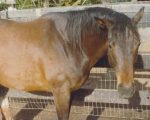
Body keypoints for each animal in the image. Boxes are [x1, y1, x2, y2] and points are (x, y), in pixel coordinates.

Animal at [0, 6, 144, 120]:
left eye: (138, 43)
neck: (67, 44)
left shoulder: (70, 92)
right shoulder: (60, 93)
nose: (126, 90)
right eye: (110, 45)